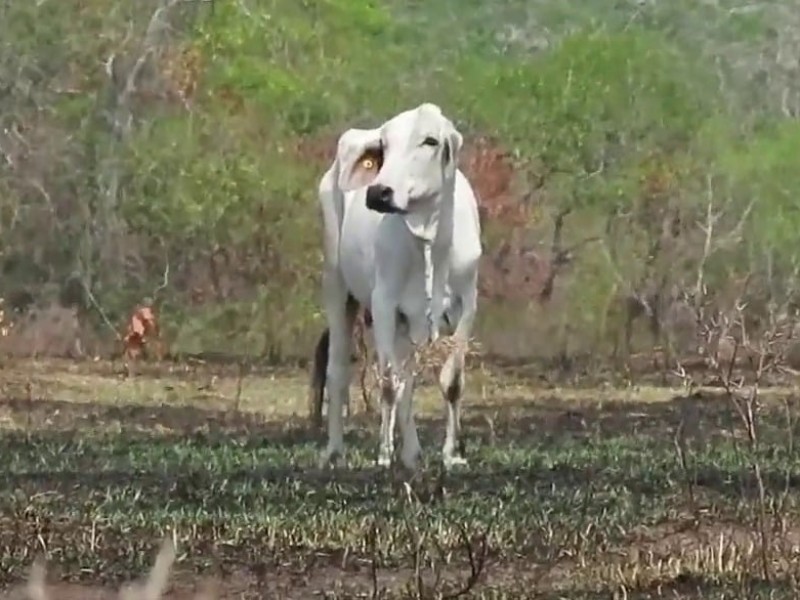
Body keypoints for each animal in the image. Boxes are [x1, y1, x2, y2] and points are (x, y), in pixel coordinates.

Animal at [318, 103, 482, 472]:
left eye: (430, 140)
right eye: (384, 145)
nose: (379, 192)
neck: (429, 240)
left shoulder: (467, 303)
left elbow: (451, 381)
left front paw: (451, 454)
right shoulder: (384, 304)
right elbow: (389, 383)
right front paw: (384, 454)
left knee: (407, 379)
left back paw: (412, 453)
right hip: (337, 285)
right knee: (338, 370)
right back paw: (335, 450)